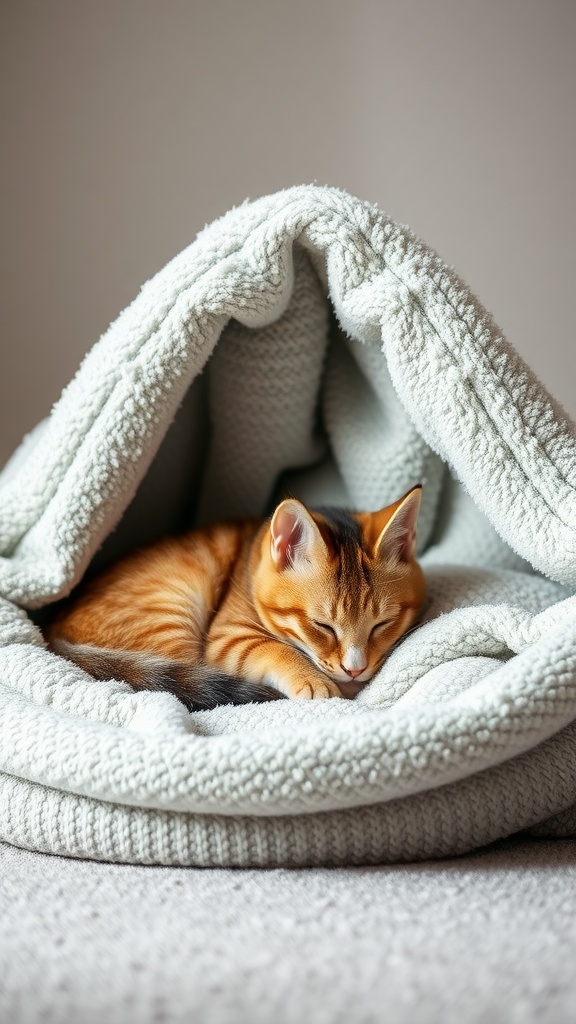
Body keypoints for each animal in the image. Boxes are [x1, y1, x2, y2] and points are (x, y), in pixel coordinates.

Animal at [45, 483, 422, 708]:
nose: (354, 670)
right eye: (322, 626)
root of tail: (53, 632)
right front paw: (315, 680)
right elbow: (278, 650)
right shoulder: (228, 638)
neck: (252, 559)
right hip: (172, 611)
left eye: (382, 624)